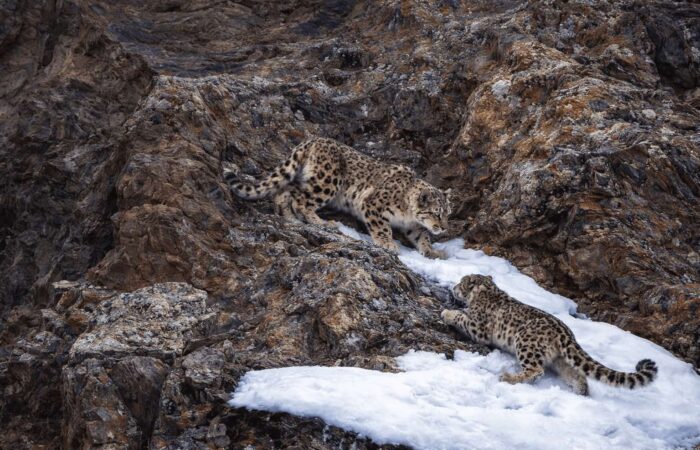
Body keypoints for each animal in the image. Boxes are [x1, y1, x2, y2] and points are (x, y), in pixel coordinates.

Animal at [224, 137, 451, 259]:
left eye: (447, 214)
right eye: (436, 213)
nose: (444, 227)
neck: (407, 215)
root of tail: (312, 140)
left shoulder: (414, 226)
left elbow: (422, 237)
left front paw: (433, 253)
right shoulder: (373, 205)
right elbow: (382, 227)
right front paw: (388, 244)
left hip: (307, 180)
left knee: (285, 192)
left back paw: (289, 218)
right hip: (328, 182)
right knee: (301, 200)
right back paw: (322, 223)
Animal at [441, 274, 658, 395]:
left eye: (462, 282)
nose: (454, 287)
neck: (485, 292)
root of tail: (567, 334)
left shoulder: (479, 327)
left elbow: (462, 317)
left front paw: (446, 313)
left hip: (525, 342)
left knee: (536, 370)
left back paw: (508, 377)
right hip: (560, 359)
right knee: (577, 374)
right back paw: (580, 393)